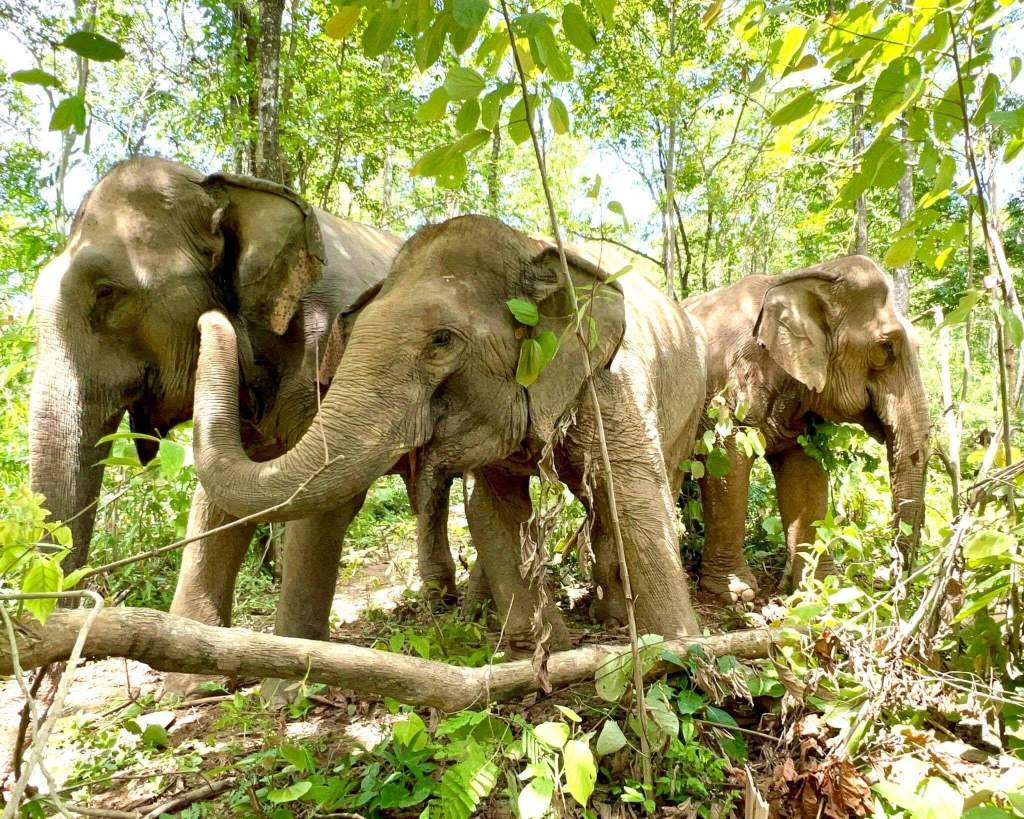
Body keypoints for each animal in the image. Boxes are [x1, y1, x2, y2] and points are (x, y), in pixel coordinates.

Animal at [27, 156, 435, 692]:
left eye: (107, 293)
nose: (45, 682)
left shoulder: (333, 347)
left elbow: (324, 496)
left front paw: (288, 687)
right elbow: (217, 500)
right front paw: (188, 683)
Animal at [189, 215, 708, 649]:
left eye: (441, 341)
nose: (212, 316)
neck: (530, 244)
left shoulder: (613, 383)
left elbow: (634, 495)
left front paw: (680, 656)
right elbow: (490, 510)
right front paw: (547, 653)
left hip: (689, 411)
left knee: (646, 487)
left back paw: (614, 618)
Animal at [681, 255, 930, 599]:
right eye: (885, 348)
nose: (885, 579)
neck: (796, 279)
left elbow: (805, 476)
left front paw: (821, 586)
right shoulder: (726, 389)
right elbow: (726, 465)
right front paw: (736, 593)